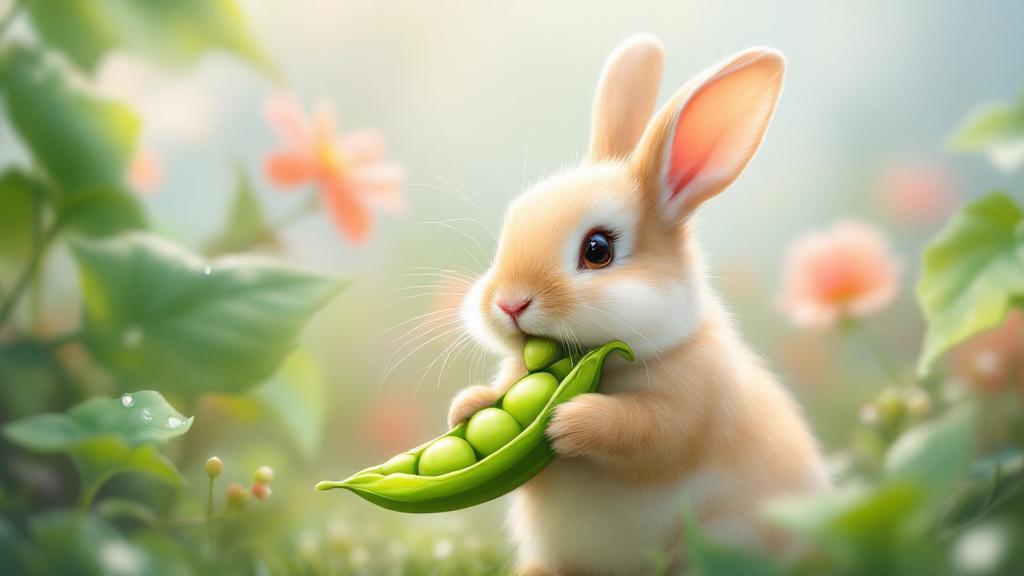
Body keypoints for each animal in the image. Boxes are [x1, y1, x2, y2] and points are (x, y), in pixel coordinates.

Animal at [447, 34, 830, 575]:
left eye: (597, 250)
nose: (508, 304)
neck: (611, 370)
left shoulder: (693, 406)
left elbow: (645, 433)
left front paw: (568, 423)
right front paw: (468, 406)